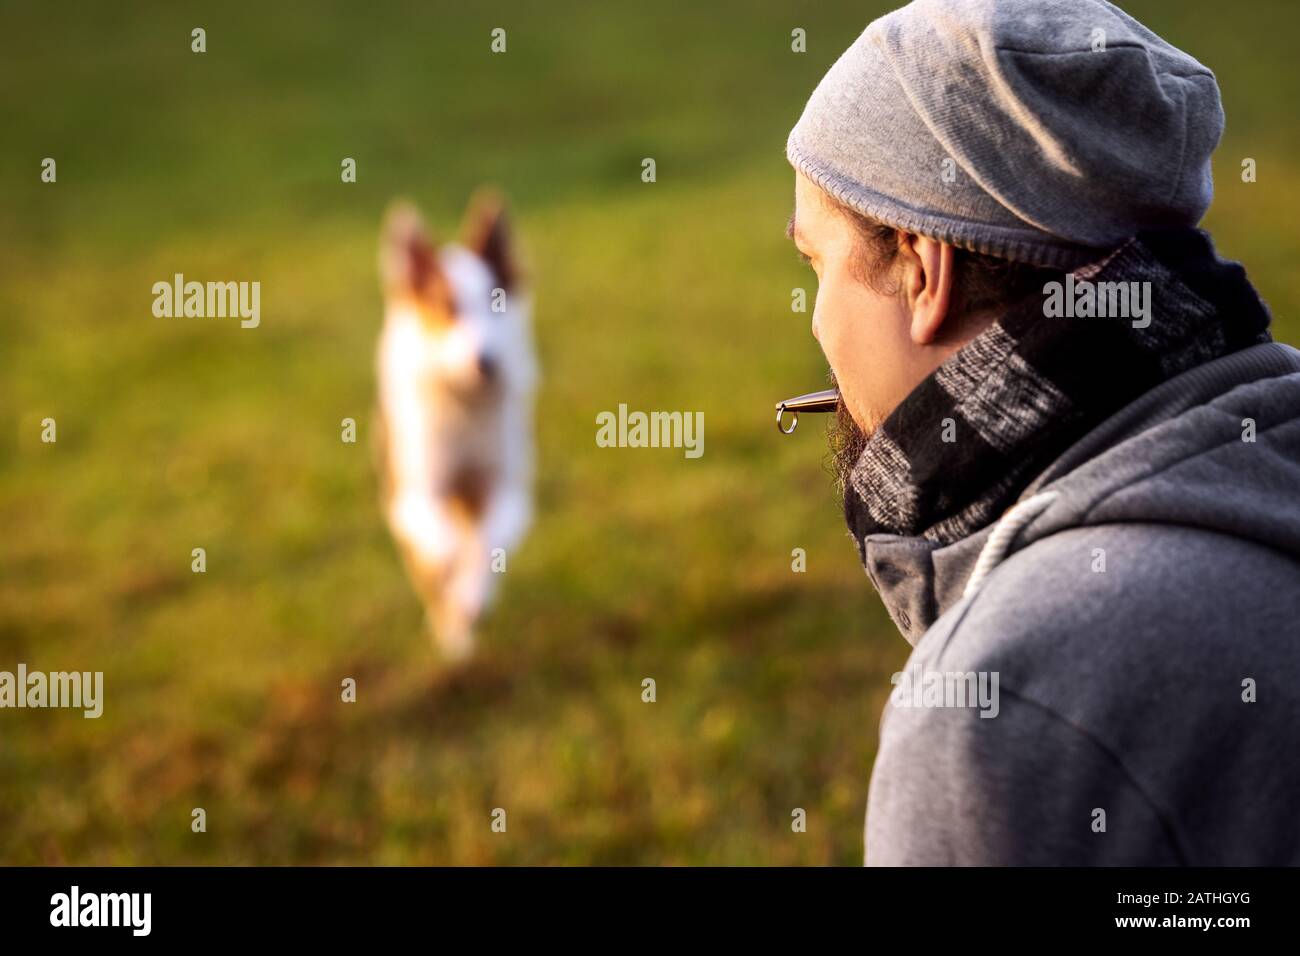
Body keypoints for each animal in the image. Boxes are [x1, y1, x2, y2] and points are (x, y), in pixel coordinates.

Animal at [377, 193, 538, 658]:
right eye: (447, 309)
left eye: (497, 302)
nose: (487, 363)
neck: (465, 399)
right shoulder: (416, 490)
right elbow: (442, 549)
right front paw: (453, 593)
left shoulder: (505, 486)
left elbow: (487, 545)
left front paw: (474, 596)